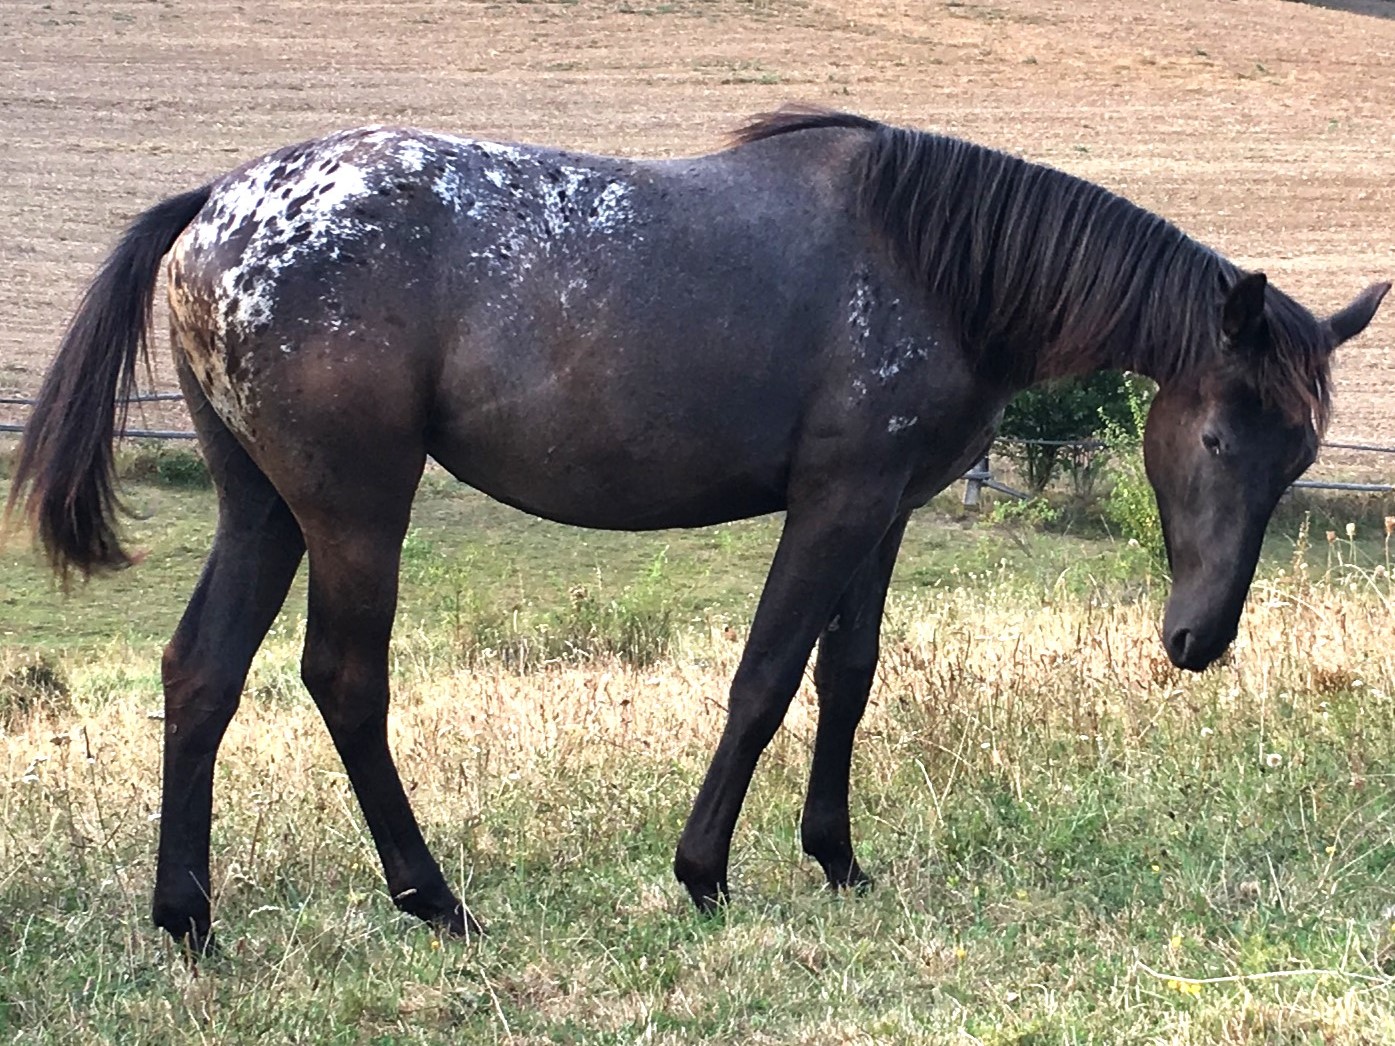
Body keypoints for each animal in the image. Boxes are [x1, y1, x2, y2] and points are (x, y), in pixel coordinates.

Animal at [8, 106, 1383, 948]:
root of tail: (217, 205)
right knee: (343, 677)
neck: (932, 262)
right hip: (353, 510)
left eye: (1299, 457)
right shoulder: (833, 505)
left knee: (202, 672)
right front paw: (705, 869)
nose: (1200, 637)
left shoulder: (883, 512)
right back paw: (433, 898)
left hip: (264, 510)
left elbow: (847, 675)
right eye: (1219, 441)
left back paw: (188, 917)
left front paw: (836, 857)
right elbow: (766, 676)